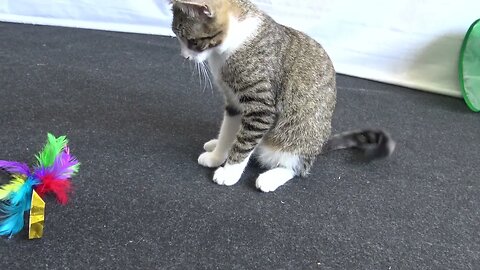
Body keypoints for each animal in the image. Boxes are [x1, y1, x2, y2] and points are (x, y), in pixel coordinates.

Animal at [169, 0, 394, 192]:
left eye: (192, 41)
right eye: (178, 38)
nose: (184, 57)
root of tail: (319, 145)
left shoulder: (261, 108)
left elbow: (244, 143)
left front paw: (230, 171)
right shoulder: (234, 102)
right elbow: (228, 131)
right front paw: (218, 155)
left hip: (298, 136)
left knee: (297, 167)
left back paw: (271, 177)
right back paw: (215, 144)